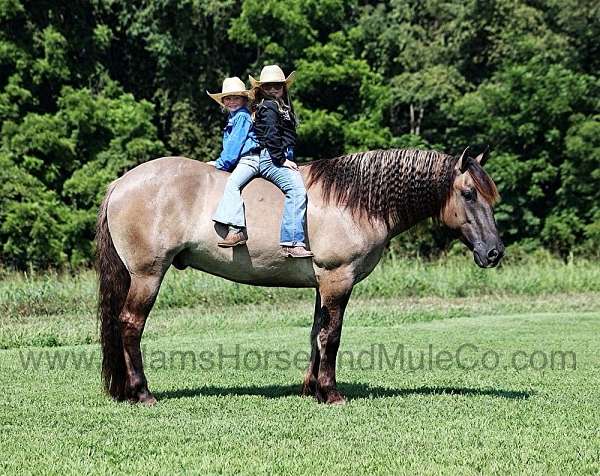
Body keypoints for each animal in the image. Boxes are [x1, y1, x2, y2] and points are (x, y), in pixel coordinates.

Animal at [96, 147, 504, 404]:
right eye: (470, 193)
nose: (494, 252)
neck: (353, 201)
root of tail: (119, 184)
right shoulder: (338, 279)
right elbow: (332, 337)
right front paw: (331, 392)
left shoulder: (322, 284)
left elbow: (316, 334)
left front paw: (311, 389)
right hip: (147, 275)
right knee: (130, 325)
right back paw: (142, 392)